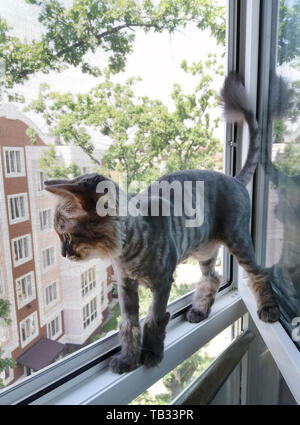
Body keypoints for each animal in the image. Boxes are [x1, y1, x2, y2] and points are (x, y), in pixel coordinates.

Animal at [45, 71, 282, 372]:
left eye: (67, 236)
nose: (64, 254)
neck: (129, 250)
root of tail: (235, 179)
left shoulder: (162, 283)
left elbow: (154, 319)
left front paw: (150, 354)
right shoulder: (126, 286)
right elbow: (129, 323)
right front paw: (128, 358)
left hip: (238, 240)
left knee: (259, 272)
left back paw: (268, 308)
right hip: (205, 251)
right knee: (212, 278)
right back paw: (199, 309)